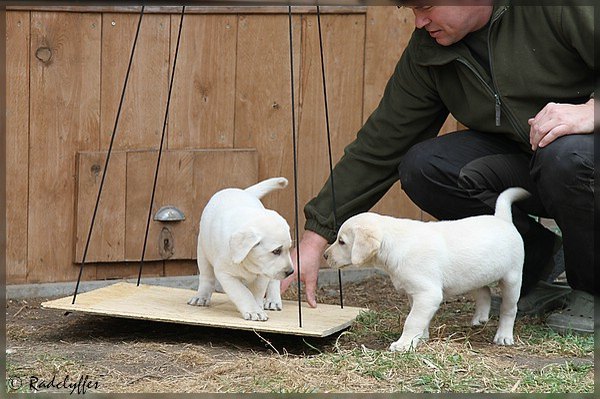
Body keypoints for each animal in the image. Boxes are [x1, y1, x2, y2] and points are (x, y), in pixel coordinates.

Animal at [185, 178, 292, 322]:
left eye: (287, 249)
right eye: (276, 251)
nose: (291, 272)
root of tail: (243, 191)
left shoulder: (263, 273)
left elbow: (257, 291)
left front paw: (257, 307)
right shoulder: (226, 274)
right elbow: (242, 293)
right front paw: (254, 310)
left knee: (274, 281)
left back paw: (273, 301)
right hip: (202, 250)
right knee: (207, 277)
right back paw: (201, 297)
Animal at [324, 187, 528, 350]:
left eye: (341, 241)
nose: (325, 256)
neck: (395, 243)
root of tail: (502, 219)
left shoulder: (427, 293)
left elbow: (412, 320)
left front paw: (403, 344)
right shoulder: (414, 294)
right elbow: (421, 319)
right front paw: (420, 338)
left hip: (512, 279)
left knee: (509, 308)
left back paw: (503, 335)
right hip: (475, 274)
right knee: (484, 289)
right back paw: (480, 317)